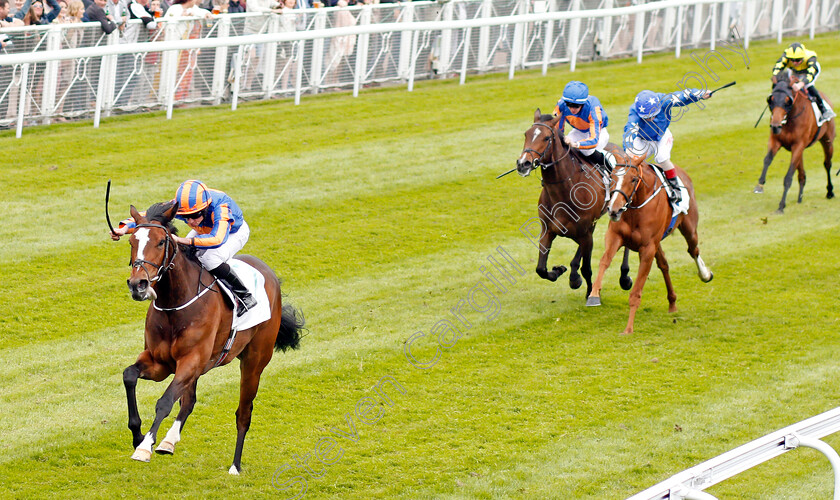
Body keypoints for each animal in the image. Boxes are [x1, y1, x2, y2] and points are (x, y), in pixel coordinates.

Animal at [118, 201, 302, 474]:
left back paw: (235, 466)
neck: (175, 304)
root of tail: (269, 274)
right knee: (188, 401)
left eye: (161, 242)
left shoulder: (190, 360)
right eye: (132, 241)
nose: (137, 284)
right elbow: (130, 375)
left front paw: (144, 447)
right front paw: (138, 435)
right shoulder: (160, 362)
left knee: (243, 413)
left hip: (254, 362)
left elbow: (165, 401)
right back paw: (169, 441)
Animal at [516, 109, 632, 300]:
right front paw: (559, 270)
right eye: (526, 134)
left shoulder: (585, 232)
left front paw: (590, 293)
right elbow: (541, 269)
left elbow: (587, 269)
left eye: (546, 138)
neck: (563, 191)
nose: (522, 163)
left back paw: (625, 277)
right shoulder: (548, 230)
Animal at [588, 160, 712, 336]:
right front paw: (594, 295)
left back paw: (705, 274)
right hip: (658, 242)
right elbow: (605, 261)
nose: (613, 209)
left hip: (689, 228)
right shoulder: (615, 236)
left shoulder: (647, 249)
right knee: (664, 264)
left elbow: (636, 291)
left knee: (693, 250)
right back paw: (672, 303)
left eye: (633, 179)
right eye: (612, 177)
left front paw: (628, 328)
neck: (635, 208)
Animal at [756, 69, 832, 212]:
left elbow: (788, 177)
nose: (775, 126)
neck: (790, 119)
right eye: (771, 100)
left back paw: (830, 192)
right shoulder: (776, 141)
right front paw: (759, 185)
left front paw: (781, 206)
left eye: (788, 101)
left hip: (827, 140)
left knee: (827, 164)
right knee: (802, 175)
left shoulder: (798, 145)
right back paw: (800, 199)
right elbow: (767, 159)